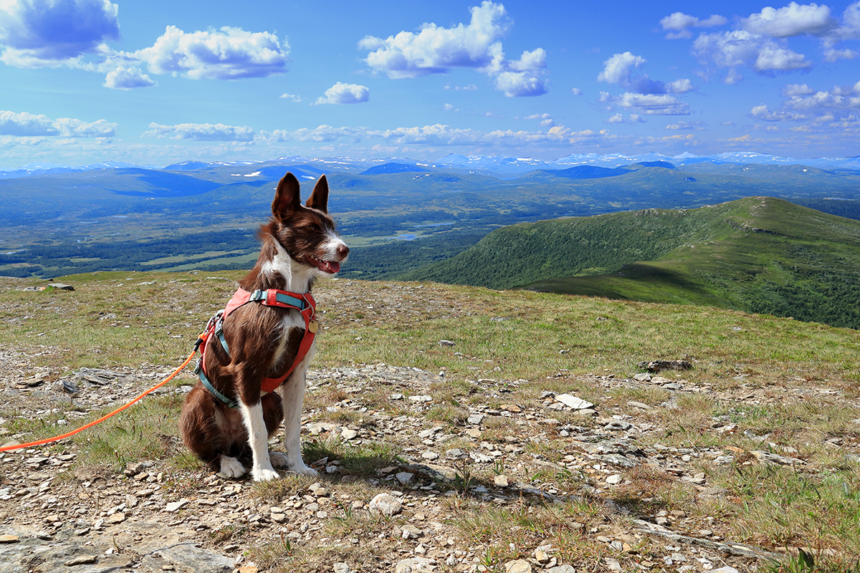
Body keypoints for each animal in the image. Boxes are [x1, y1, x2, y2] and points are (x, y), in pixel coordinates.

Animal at [180, 172, 348, 480]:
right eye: (310, 228)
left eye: (332, 226)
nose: (345, 249)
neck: (288, 293)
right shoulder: (247, 369)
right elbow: (256, 431)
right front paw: (263, 473)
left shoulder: (297, 374)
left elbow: (293, 430)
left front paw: (298, 465)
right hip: (199, 400)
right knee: (214, 451)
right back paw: (230, 463)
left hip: (272, 400)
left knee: (244, 444)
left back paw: (274, 457)